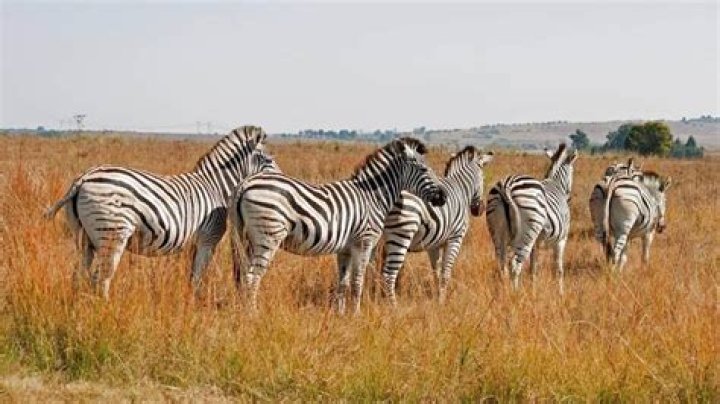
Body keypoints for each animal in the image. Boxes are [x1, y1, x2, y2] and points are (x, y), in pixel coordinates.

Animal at [44, 125, 271, 299]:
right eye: (268, 160)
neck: (216, 186)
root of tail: (83, 178)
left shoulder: (196, 241)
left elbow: (191, 275)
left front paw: (188, 300)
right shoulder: (208, 238)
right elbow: (198, 275)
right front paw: (195, 303)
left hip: (84, 238)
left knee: (79, 276)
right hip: (112, 233)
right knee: (101, 278)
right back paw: (105, 311)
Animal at [229, 137, 447, 314]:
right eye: (424, 169)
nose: (443, 197)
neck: (372, 197)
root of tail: (246, 182)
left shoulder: (345, 249)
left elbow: (343, 283)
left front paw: (341, 315)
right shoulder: (364, 242)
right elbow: (358, 281)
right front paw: (356, 315)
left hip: (247, 239)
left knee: (245, 275)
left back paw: (243, 310)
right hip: (268, 236)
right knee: (252, 277)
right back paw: (252, 314)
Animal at [379, 146, 493, 305]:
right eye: (483, 179)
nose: (479, 209)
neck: (461, 189)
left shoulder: (434, 244)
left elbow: (436, 273)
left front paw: (437, 297)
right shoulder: (455, 238)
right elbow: (446, 273)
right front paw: (442, 302)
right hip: (401, 234)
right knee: (388, 274)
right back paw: (393, 306)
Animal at [486, 144, 578, 292]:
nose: (569, 198)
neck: (556, 183)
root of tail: (507, 186)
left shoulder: (536, 243)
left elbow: (533, 268)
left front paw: (533, 290)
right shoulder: (561, 239)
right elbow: (558, 269)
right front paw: (560, 293)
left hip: (497, 231)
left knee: (501, 265)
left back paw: (503, 292)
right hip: (528, 231)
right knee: (514, 264)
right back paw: (515, 293)